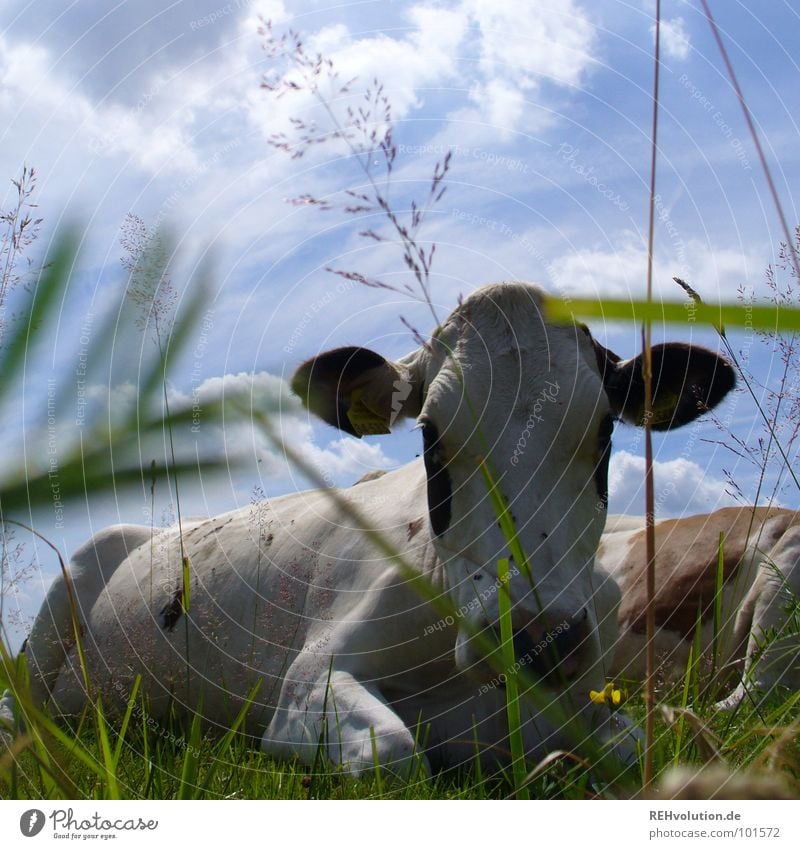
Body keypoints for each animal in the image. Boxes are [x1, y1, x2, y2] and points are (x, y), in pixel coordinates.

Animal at [1, 284, 736, 776]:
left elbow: (633, 745)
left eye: (606, 431)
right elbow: (394, 752)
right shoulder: (309, 679)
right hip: (50, 623)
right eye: (431, 438)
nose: (535, 634)